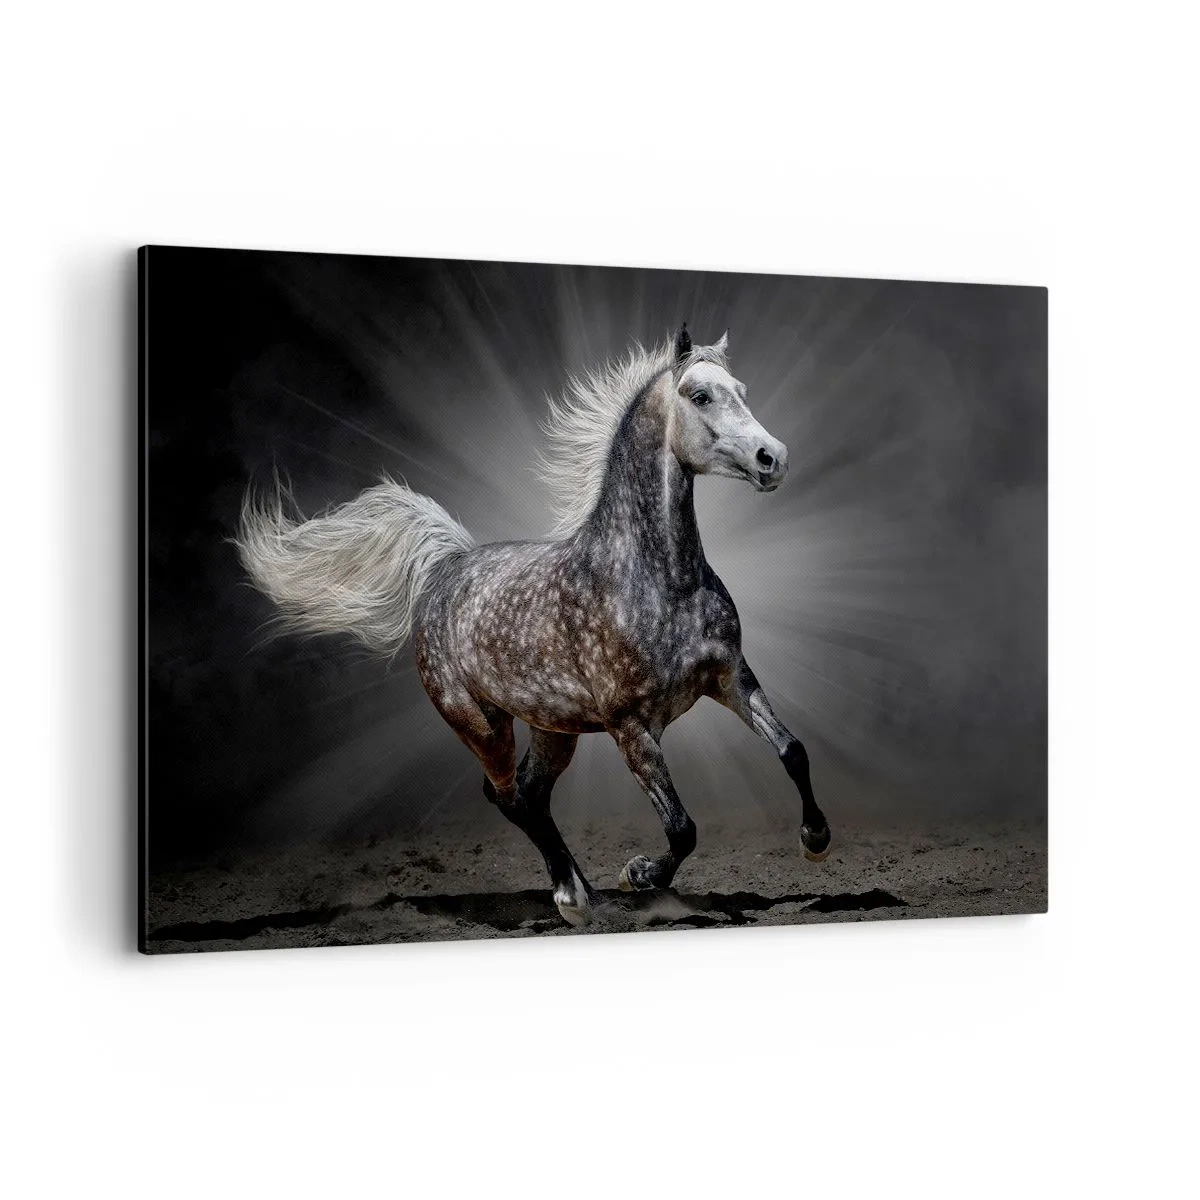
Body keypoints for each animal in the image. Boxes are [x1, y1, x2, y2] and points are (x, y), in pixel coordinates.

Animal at [236, 325, 832, 927]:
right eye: (700, 395)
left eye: (742, 390)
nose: (773, 458)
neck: (660, 580)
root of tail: (447, 568)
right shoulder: (631, 727)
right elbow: (681, 828)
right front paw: (638, 875)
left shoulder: (731, 678)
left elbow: (793, 751)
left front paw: (815, 840)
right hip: (480, 724)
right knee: (507, 795)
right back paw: (573, 897)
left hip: (553, 729)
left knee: (531, 793)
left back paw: (581, 889)